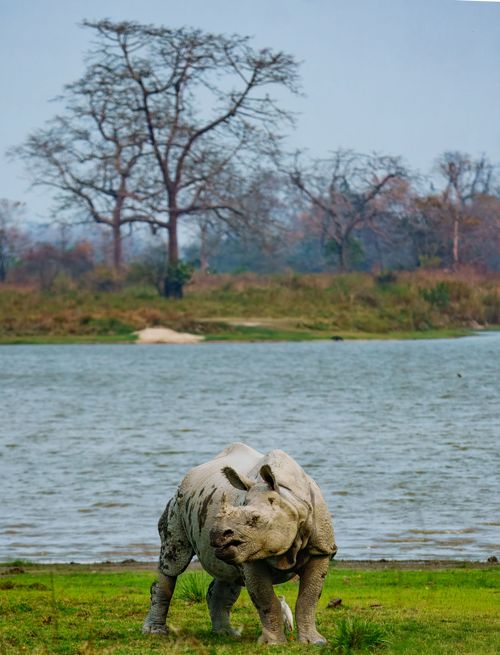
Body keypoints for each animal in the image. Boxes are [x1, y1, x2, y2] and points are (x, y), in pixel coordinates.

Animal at [143, 442, 337, 644]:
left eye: (255, 518)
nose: (216, 534)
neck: (291, 499)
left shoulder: (321, 549)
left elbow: (308, 599)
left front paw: (315, 642)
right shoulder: (251, 557)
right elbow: (266, 600)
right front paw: (273, 643)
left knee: (227, 576)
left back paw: (225, 633)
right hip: (177, 503)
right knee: (173, 562)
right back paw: (155, 631)